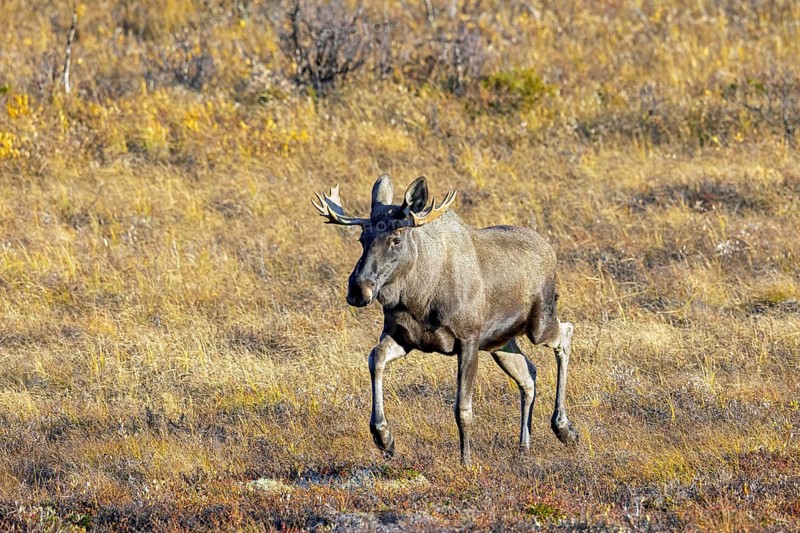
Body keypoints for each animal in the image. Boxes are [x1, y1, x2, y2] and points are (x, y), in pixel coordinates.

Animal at [312, 174, 579, 466]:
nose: (359, 290)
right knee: (529, 374)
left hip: (539, 323)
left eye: (396, 239)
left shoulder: (468, 339)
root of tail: (549, 250)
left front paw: (466, 461)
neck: (418, 297)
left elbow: (463, 408)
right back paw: (524, 445)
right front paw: (384, 438)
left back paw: (564, 428)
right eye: (362, 238)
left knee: (566, 333)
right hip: (501, 343)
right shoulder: (402, 337)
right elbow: (376, 357)